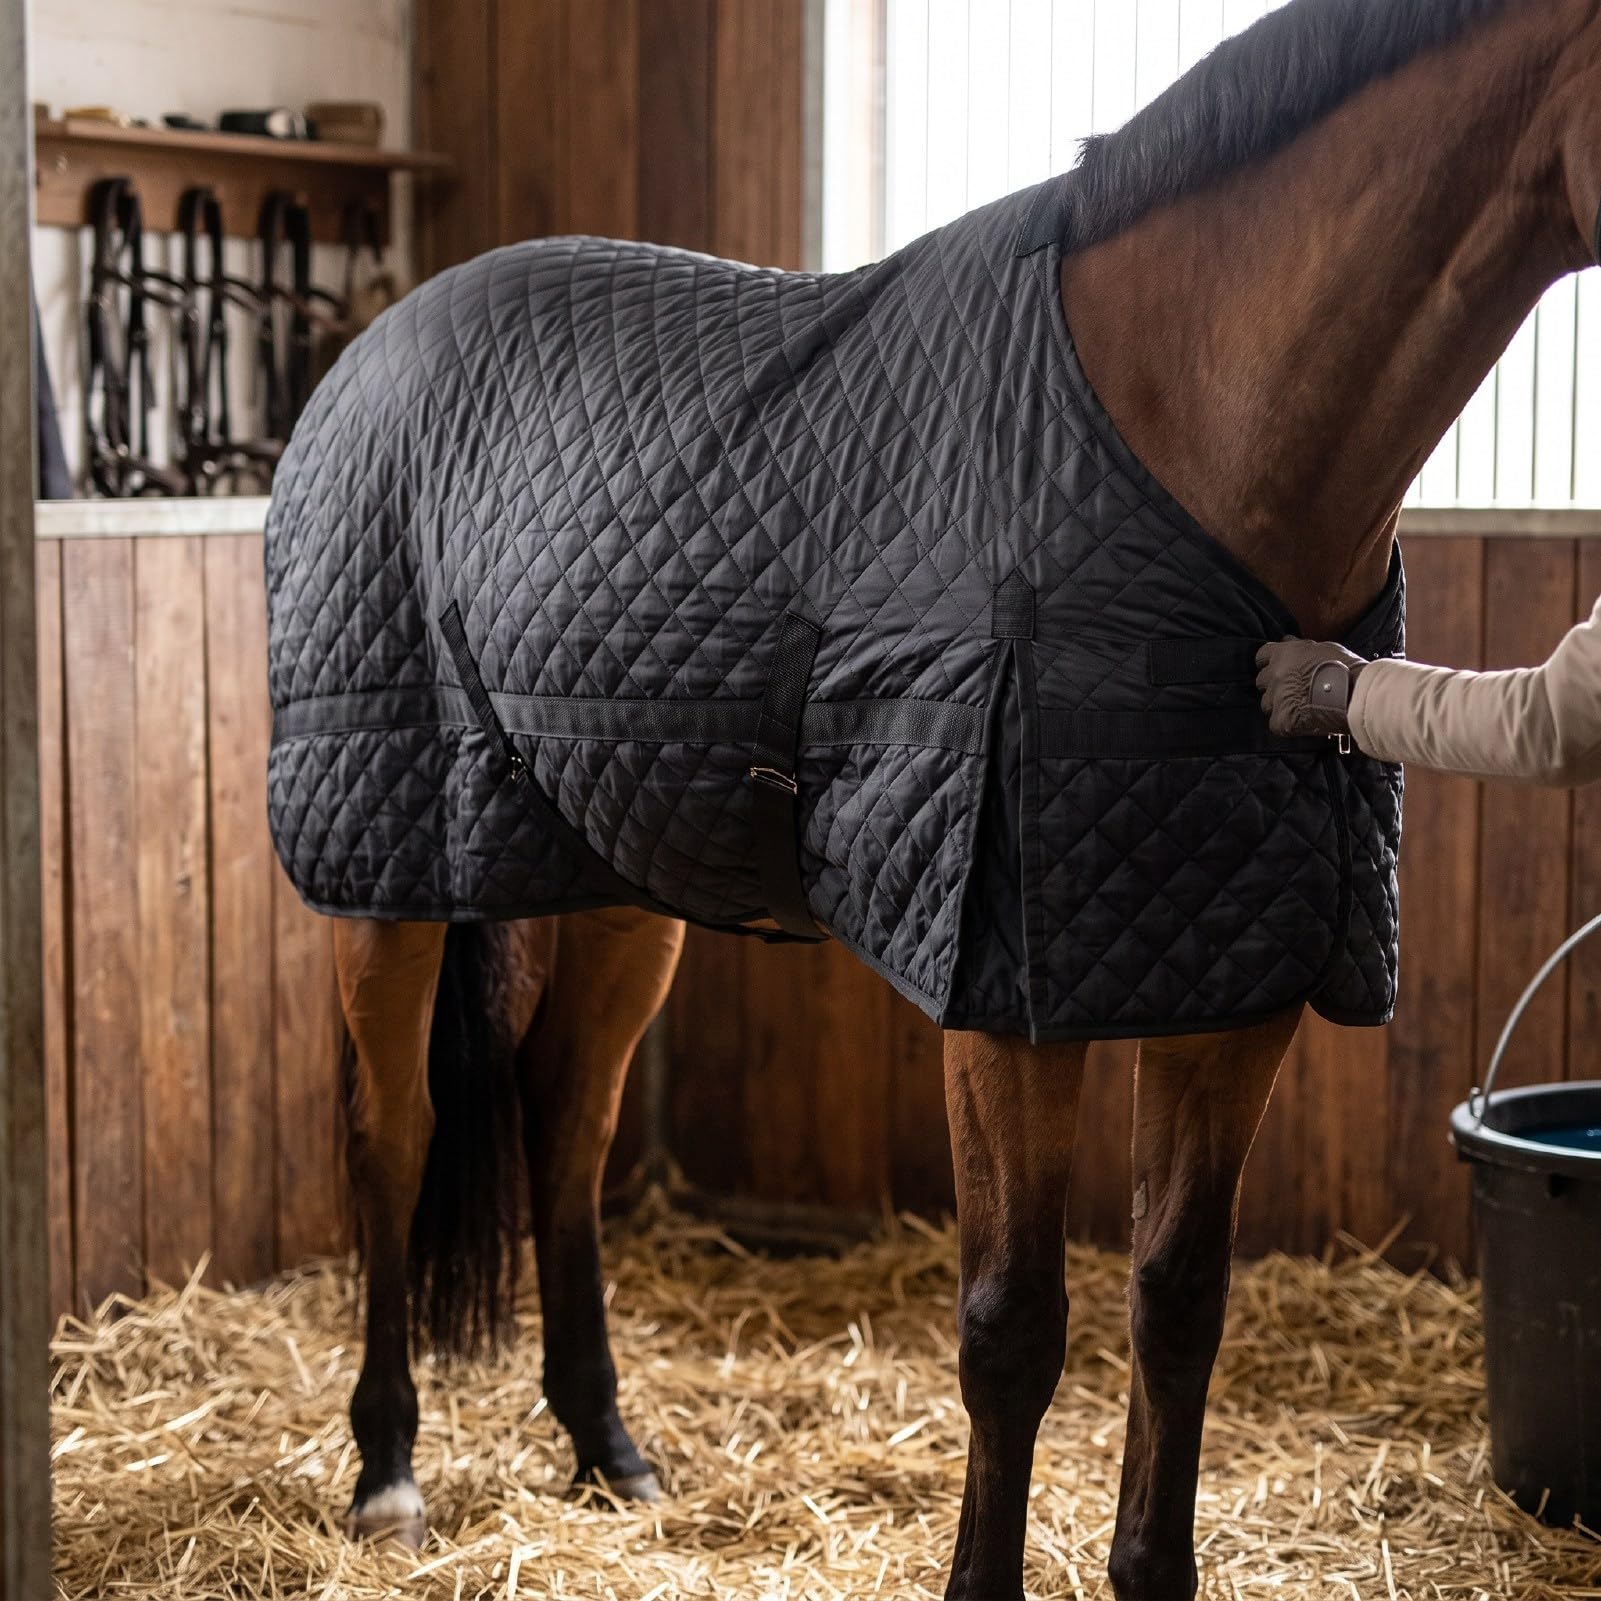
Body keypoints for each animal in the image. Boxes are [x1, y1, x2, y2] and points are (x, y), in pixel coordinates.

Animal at [292, 1, 1601, 1595]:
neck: (1180, 436)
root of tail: (379, 344)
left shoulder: (1230, 981)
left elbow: (1177, 1304)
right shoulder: (1002, 995)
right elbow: (1011, 1327)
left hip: (614, 889)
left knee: (567, 1128)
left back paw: (607, 1445)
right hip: (387, 872)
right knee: (393, 1135)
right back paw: (386, 1469)